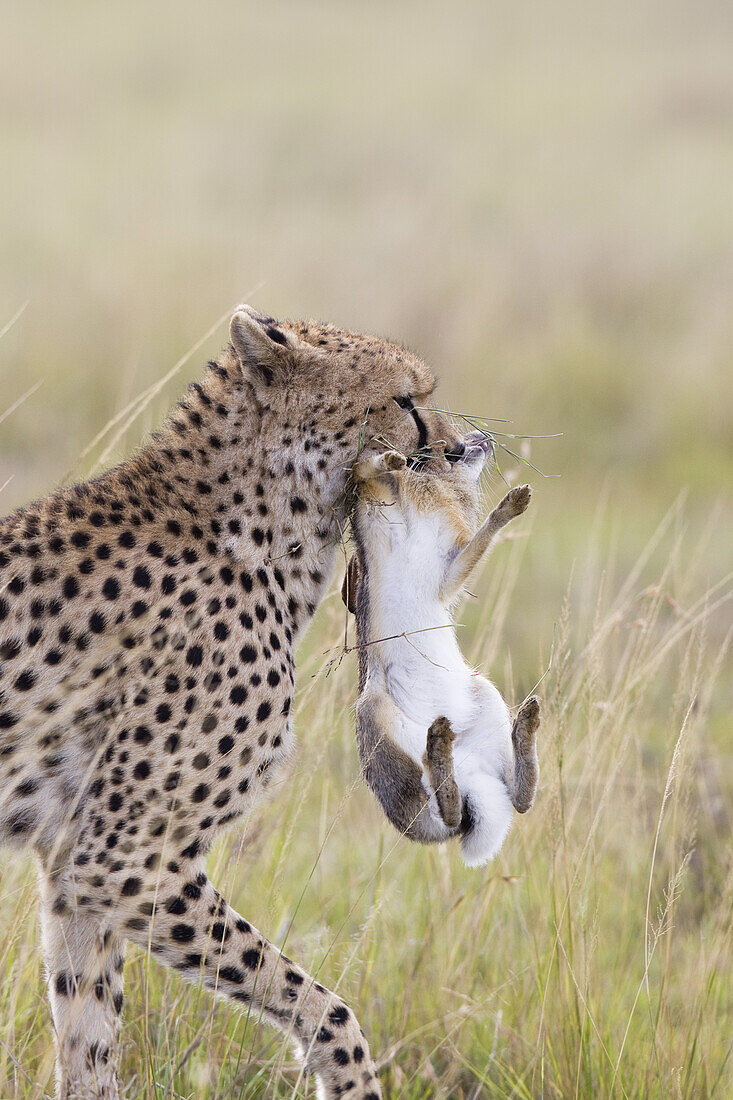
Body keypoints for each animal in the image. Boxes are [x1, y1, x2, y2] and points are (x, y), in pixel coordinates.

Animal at [0, 305, 468, 1100]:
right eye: (405, 401)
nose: (459, 447)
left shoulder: (72, 865)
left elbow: (88, 1040)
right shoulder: (125, 857)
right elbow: (323, 1005)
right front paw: (348, 1078)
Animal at [341, 446, 537, 866]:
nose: (480, 443)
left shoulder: (446, 572)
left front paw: (515, 502)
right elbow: (362, 472)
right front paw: (389, 462)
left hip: (485, 696)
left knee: (512, 801)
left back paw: (519, 724)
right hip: (374, 713)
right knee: (450, 815)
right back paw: (439, 742)